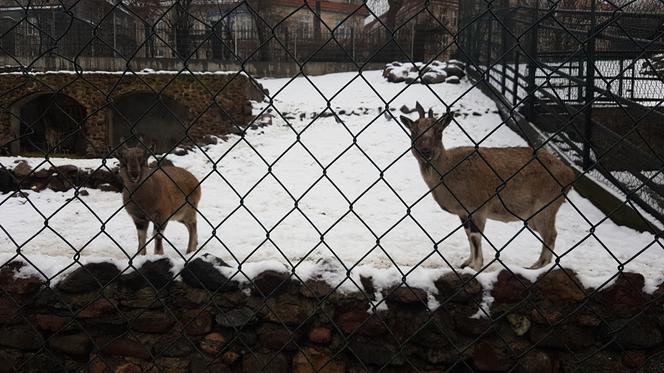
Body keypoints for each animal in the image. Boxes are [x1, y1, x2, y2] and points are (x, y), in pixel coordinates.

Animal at [400, 101, 576, 270]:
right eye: (413, 131)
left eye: (439, 131)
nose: (425, 151)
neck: (449, 170)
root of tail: (569, 173)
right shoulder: (463, 213)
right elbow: (468, 235)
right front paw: (467, 263)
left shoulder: (478, 209)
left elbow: (475, 237)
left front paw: (476, 266)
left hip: (544, 208)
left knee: (550, 235)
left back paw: (535, 267)